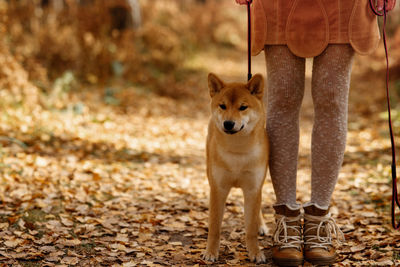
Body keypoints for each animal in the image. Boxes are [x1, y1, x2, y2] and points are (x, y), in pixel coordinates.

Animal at [203, 73, 268, 264]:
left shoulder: (253, 188)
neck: (238, 152)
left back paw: (261, 225)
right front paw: (211, 252)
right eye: (223, 106)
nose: (228, 123)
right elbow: (215, 227)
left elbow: (251, 229)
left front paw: (255, 252)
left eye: (243, 107)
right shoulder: (218, 188)